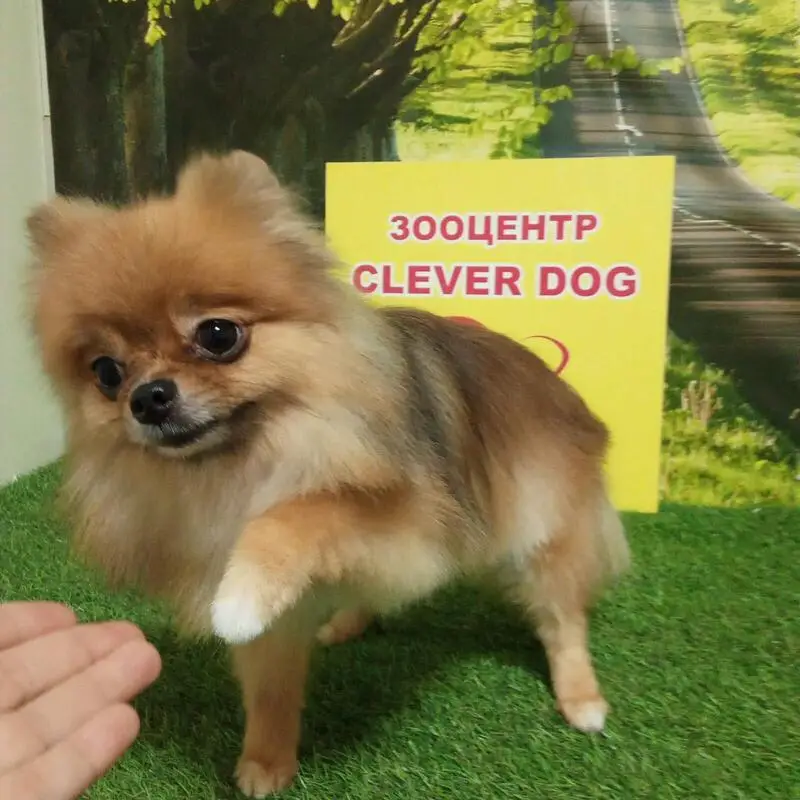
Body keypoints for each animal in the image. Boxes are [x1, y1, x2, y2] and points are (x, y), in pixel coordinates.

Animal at [26, 150, 630, 797]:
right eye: (106, 373)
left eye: (218, 334)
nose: (148, 397)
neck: (242, 466)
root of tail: (555, 385)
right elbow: (270, 689)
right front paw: (267, 761)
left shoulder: (415, 524)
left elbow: (302, 513)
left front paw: (241, 595)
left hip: (540, 527)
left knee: (562, 617)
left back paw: (581, 699)